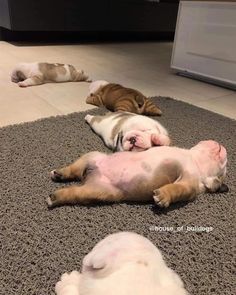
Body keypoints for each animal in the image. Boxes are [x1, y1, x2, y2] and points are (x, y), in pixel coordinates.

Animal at [47, 140, 228, 208]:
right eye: (225, 166)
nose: (223, 146)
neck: (194, 159)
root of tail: (90, 174)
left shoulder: (188, 184)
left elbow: (177, 189)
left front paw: (163, 196)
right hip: (92, 156)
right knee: (74, 169)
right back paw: (60, 173)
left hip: (98, 191)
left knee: (74, 192)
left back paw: (55, 197)